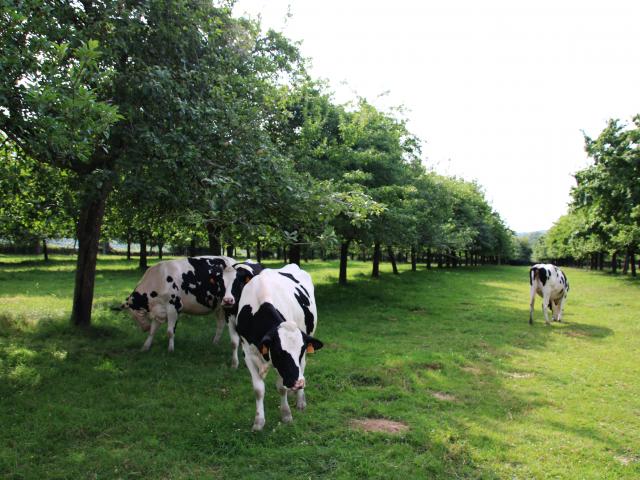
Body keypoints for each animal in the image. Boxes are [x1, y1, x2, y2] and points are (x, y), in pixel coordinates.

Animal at [124, 255, 262, 356]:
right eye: (133, 316)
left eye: (137, 313)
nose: (144, 328)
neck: (158, 278)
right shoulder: (159, 310)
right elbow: (153, 331)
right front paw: (145, 347)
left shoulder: (173, 307)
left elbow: (170, 331)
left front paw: (170, 350)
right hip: (220, 307)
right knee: (220, 324)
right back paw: (215, 343)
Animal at [231, 262, 324, 432]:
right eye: (279, 352)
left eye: (301, 350)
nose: (298, 383)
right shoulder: (248, 353)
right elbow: (258, 390)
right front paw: (258, 422)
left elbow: (281, 387)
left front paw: (286, 414)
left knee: (302, 368)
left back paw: (300, 400)